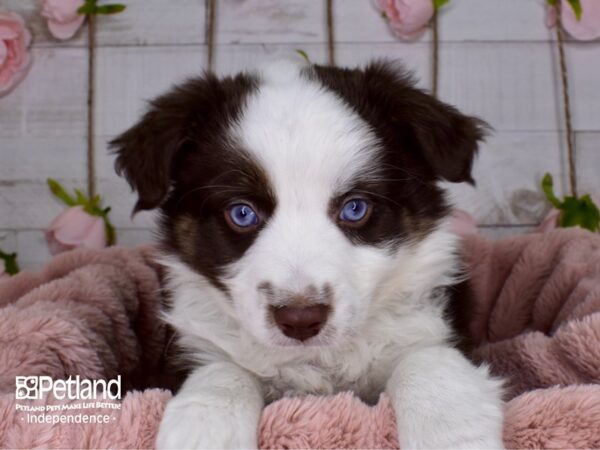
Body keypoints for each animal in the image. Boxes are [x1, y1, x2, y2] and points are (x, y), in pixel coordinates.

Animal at [110, 60, 504, 450]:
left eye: (355, 208)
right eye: (242, 213)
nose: (300, 319)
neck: (317, 362)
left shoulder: (436, 327)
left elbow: (429, 360)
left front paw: (452, 435)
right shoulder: (192, 348)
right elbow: (222, 370)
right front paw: (206, 430)